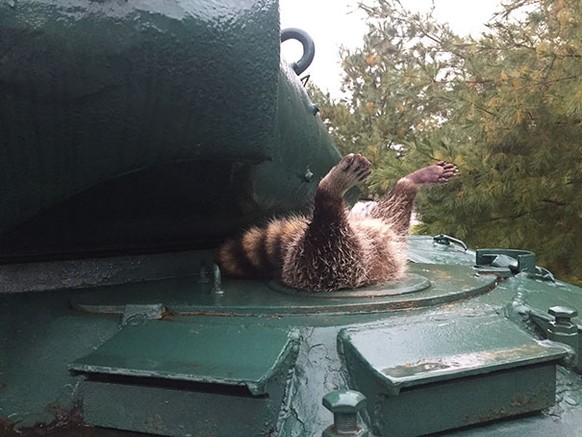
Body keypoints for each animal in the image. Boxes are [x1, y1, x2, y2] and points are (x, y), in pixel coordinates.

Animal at [217, 152, 458, 292]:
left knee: (398, 201)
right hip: (327, 265)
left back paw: (412, 180)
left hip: (386, 224)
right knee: (327, 235)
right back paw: (330, 190)